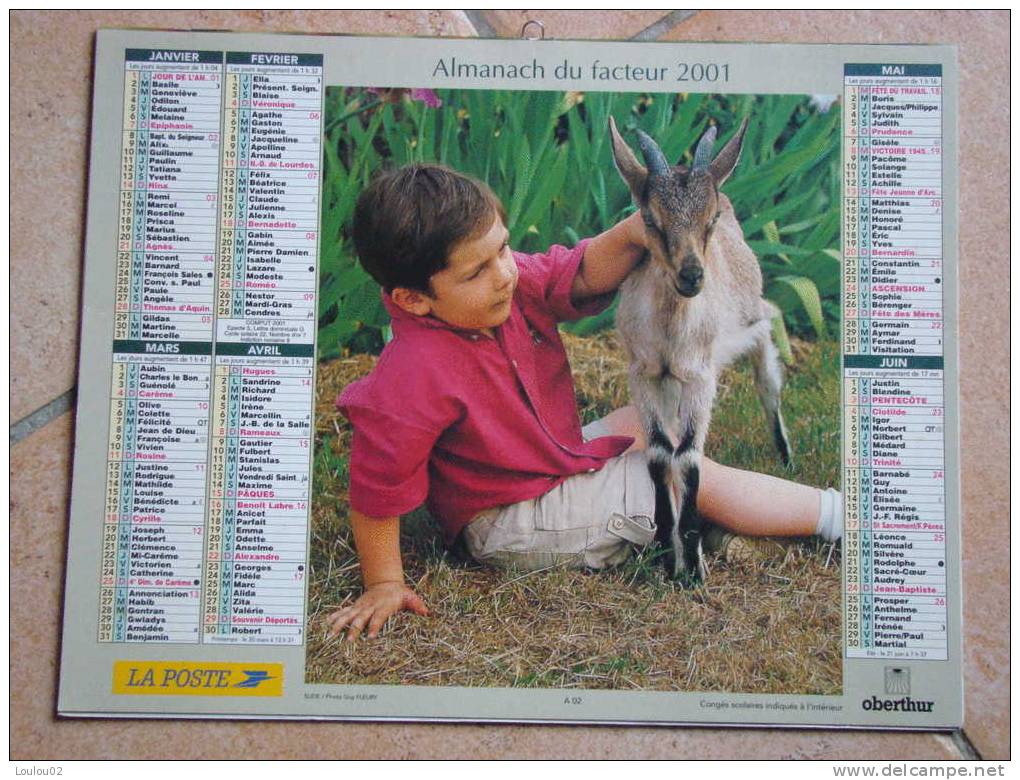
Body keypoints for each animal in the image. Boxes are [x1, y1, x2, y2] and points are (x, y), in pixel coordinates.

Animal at [607, 112, 791, 583]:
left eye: (709, 219)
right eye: (649, 218)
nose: (692, 276)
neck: (672, 333)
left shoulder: (700, 375)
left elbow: (689, 457)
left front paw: (692, 565)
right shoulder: (644, 373)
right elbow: (660, 453)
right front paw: (663, 550)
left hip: (748, 312)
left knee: (769, 335)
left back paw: (783, 449)